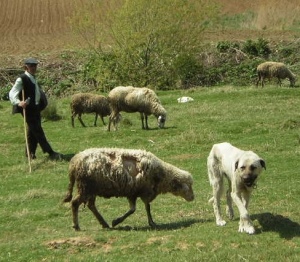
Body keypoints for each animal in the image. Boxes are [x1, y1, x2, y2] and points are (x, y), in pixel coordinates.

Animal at [63, 148, 195, 230]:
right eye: (188, 186)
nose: (193, 197)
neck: (162, 175)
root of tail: (74, 162)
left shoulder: (134, 192)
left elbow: (137, 208)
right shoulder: (143, 191)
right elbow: (143, 208)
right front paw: (151, 223)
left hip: (91, 189)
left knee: (91, 205)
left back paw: (104, 224)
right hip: (85, 187)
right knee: (75, 203)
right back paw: (76, 226)